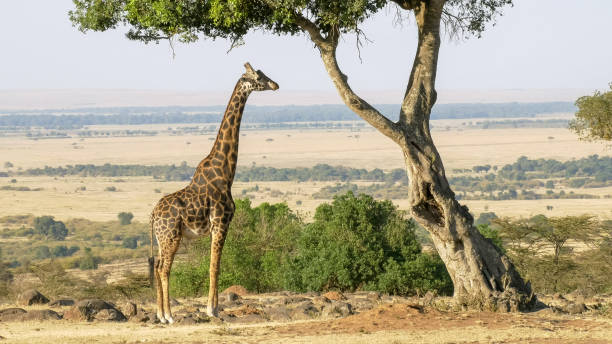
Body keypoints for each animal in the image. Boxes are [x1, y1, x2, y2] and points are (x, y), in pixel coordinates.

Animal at [149, 63, 278, 324]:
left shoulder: (216, 226)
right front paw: (212, 309)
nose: (275, 84)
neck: (225, 173)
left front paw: (214, 307)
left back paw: (160, 314)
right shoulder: (221, 222)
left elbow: (213, 264)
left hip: (162, 238)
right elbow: (215, 265)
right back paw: (168, 316)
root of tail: (153, 216)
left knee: (157, 266)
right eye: (259, 77)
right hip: (171, 236)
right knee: (164, 268)